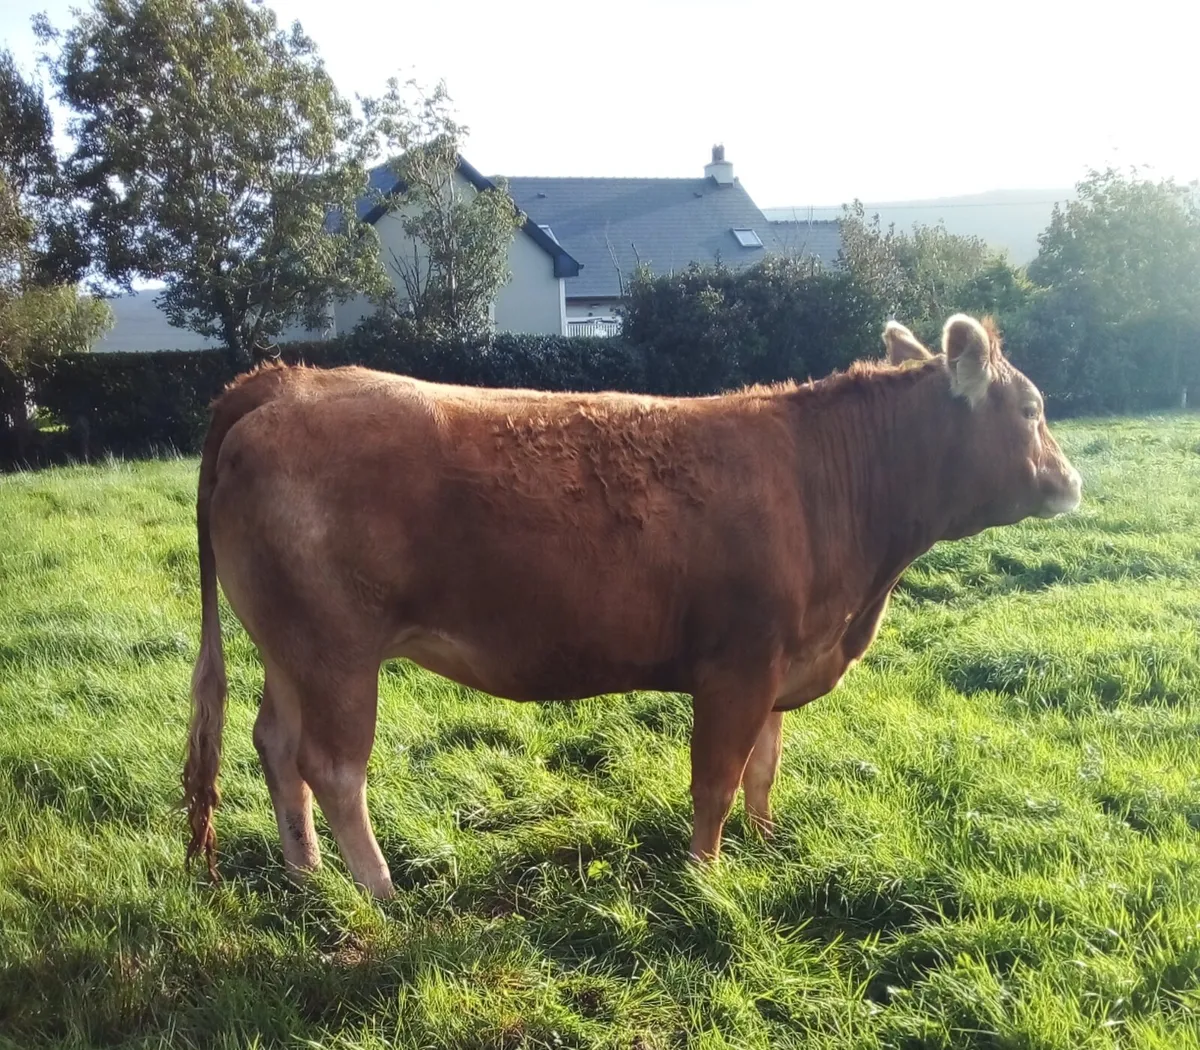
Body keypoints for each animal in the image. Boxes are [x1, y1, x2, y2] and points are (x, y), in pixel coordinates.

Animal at [182, 312, 1082, 898]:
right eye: (1034, 409)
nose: (1072, 481)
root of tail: (283, 381)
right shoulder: (738, 667)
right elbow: (716, 779)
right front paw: (706, 878)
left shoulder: (781, 661)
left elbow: (763, 769)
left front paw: (768, 846)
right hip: (336, 650)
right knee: (333, 766)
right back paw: (379, 891)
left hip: (288, 647)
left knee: (275, 745)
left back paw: (307, 877)